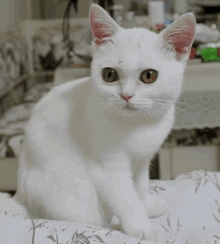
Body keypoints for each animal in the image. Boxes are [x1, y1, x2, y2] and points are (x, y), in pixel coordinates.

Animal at [0, 3, 196, 242]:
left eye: (149, 76)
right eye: (109, 75)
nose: (126, 95)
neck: (137, 124)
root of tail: (20, 198)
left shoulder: (141, 162)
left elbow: (139, 187)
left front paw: (146, 205)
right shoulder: (107, 170)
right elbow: (126, 199)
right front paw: (141, 228)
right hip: (75, 197)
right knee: (93, 218)